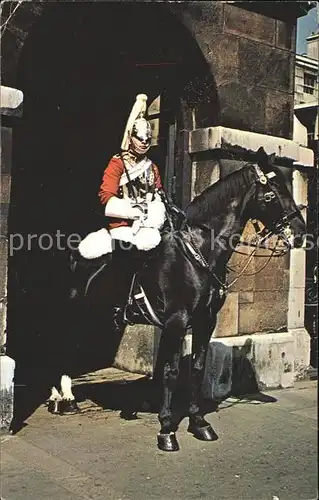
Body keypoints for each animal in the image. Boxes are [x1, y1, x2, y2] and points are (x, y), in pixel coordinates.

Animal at [50, 146, 308, 452]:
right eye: (272, 193)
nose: (301, 233)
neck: (198, 252)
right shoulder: (176, 320)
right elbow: (171, 371)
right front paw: (166, 429)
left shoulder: (205, 321)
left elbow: (196, 368)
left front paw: (198, 423)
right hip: (72, 309)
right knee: (59, 346)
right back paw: (61, 398)